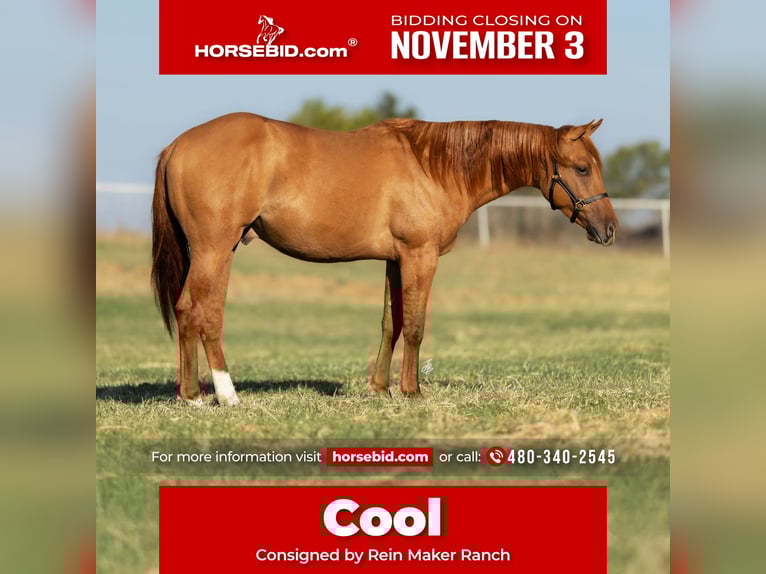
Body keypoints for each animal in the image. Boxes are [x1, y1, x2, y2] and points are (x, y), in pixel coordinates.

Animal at [151, 113, 618, 406]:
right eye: (581, 168)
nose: (610, 229)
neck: (434, 167)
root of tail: (177, 145)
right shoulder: (420, 255)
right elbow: (414, 325)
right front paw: (411, 391)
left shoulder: (396, 259)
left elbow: (390, 322)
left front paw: (380, 388)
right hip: (215, 249)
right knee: (203, 312)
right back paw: (224, 394)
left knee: (186, 311)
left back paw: (190, 395)